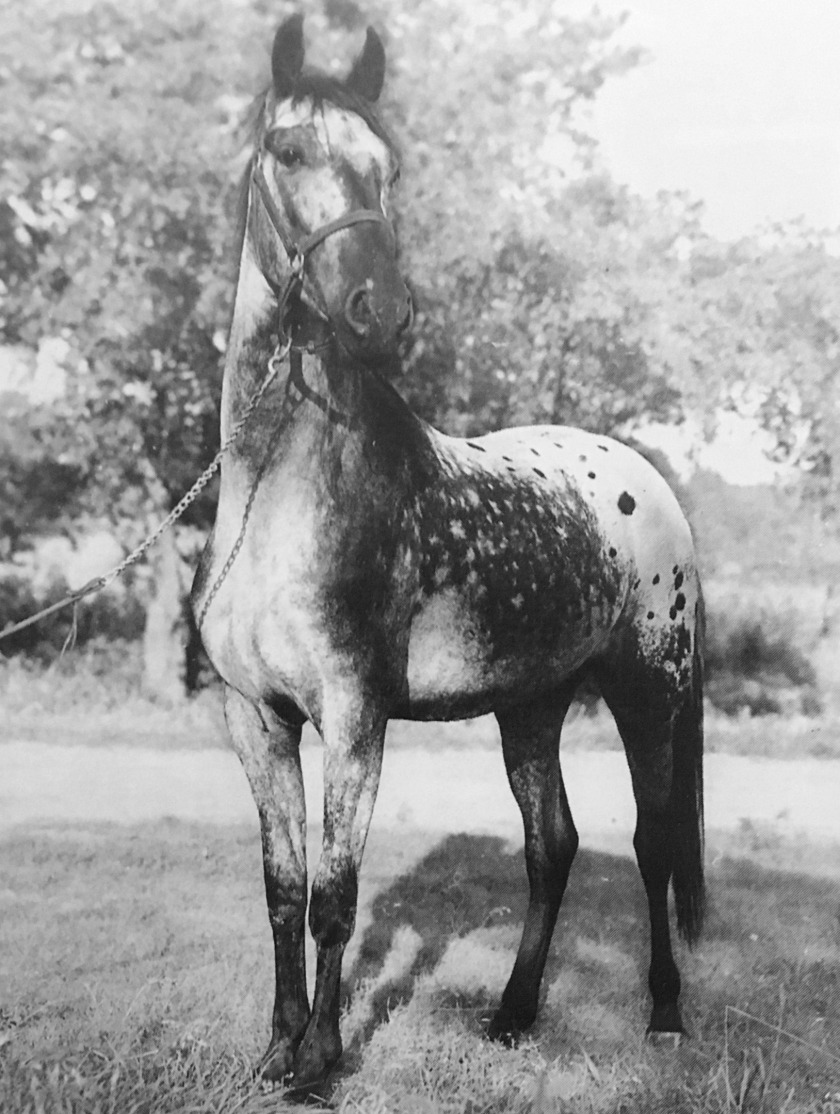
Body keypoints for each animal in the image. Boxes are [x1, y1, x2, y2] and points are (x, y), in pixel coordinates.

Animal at [191, 15, 704, 1090]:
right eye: (287, 151)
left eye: (391, 167)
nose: (378, 311)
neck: (277, 496)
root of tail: (648, 483)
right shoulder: (257, 720)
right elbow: (282, 887)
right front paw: (275, 1048)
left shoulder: (355, 717)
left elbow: (336, 894)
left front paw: (321, 1062)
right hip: (533, 705)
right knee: (553, 844)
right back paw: (512, 1013)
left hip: (648, 694)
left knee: (652, 844)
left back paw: (665, 1015)